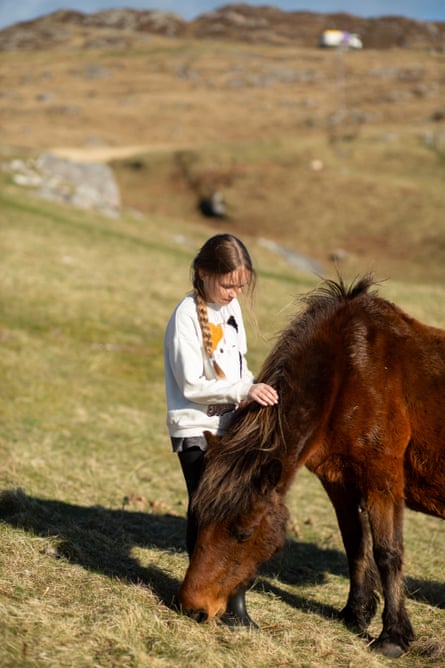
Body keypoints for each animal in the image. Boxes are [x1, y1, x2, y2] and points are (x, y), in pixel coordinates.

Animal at [178, 274, 445, 658]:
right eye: (198, 519)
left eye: (243, 533)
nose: (193, 608)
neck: (352, 370)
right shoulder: (340, 482)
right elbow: (355, 544)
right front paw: (355, 614)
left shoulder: (382, 479)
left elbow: (387, 552)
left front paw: (393, 637)